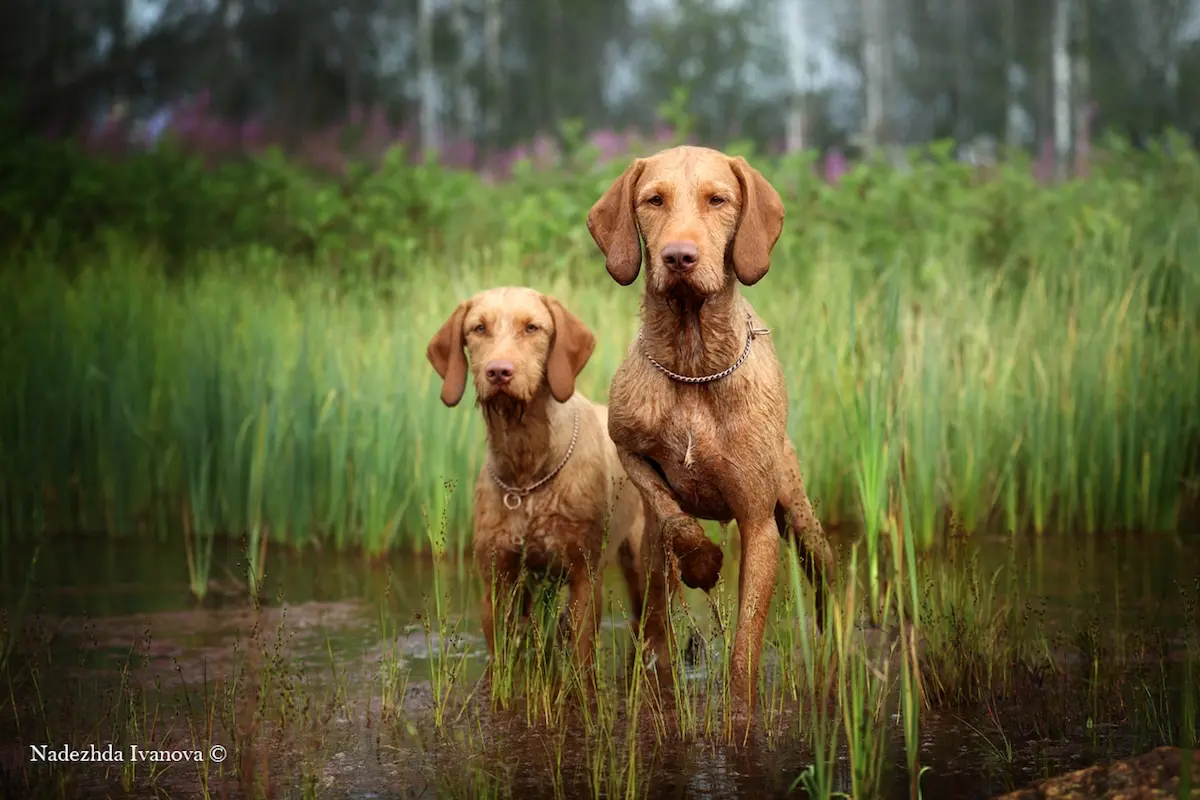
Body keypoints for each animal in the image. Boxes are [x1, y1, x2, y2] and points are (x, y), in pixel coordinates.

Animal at [424, 287, 643, 676]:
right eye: (478, 328)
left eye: (532, 328)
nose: (499, 372)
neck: (527, 469)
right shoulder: (497, 580)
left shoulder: (584, 577)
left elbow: (582, 659)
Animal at [588, 146, 835, 714]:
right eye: (653, 200)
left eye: (717, 199)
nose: (679, 257)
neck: (694, 363)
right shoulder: (629, 449)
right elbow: (671, 512)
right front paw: (702, 561)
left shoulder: (759, 522)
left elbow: (746, 640)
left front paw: (738, 713)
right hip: (650, 561)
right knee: (656, 613)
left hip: (800, 516)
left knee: (827, 571)